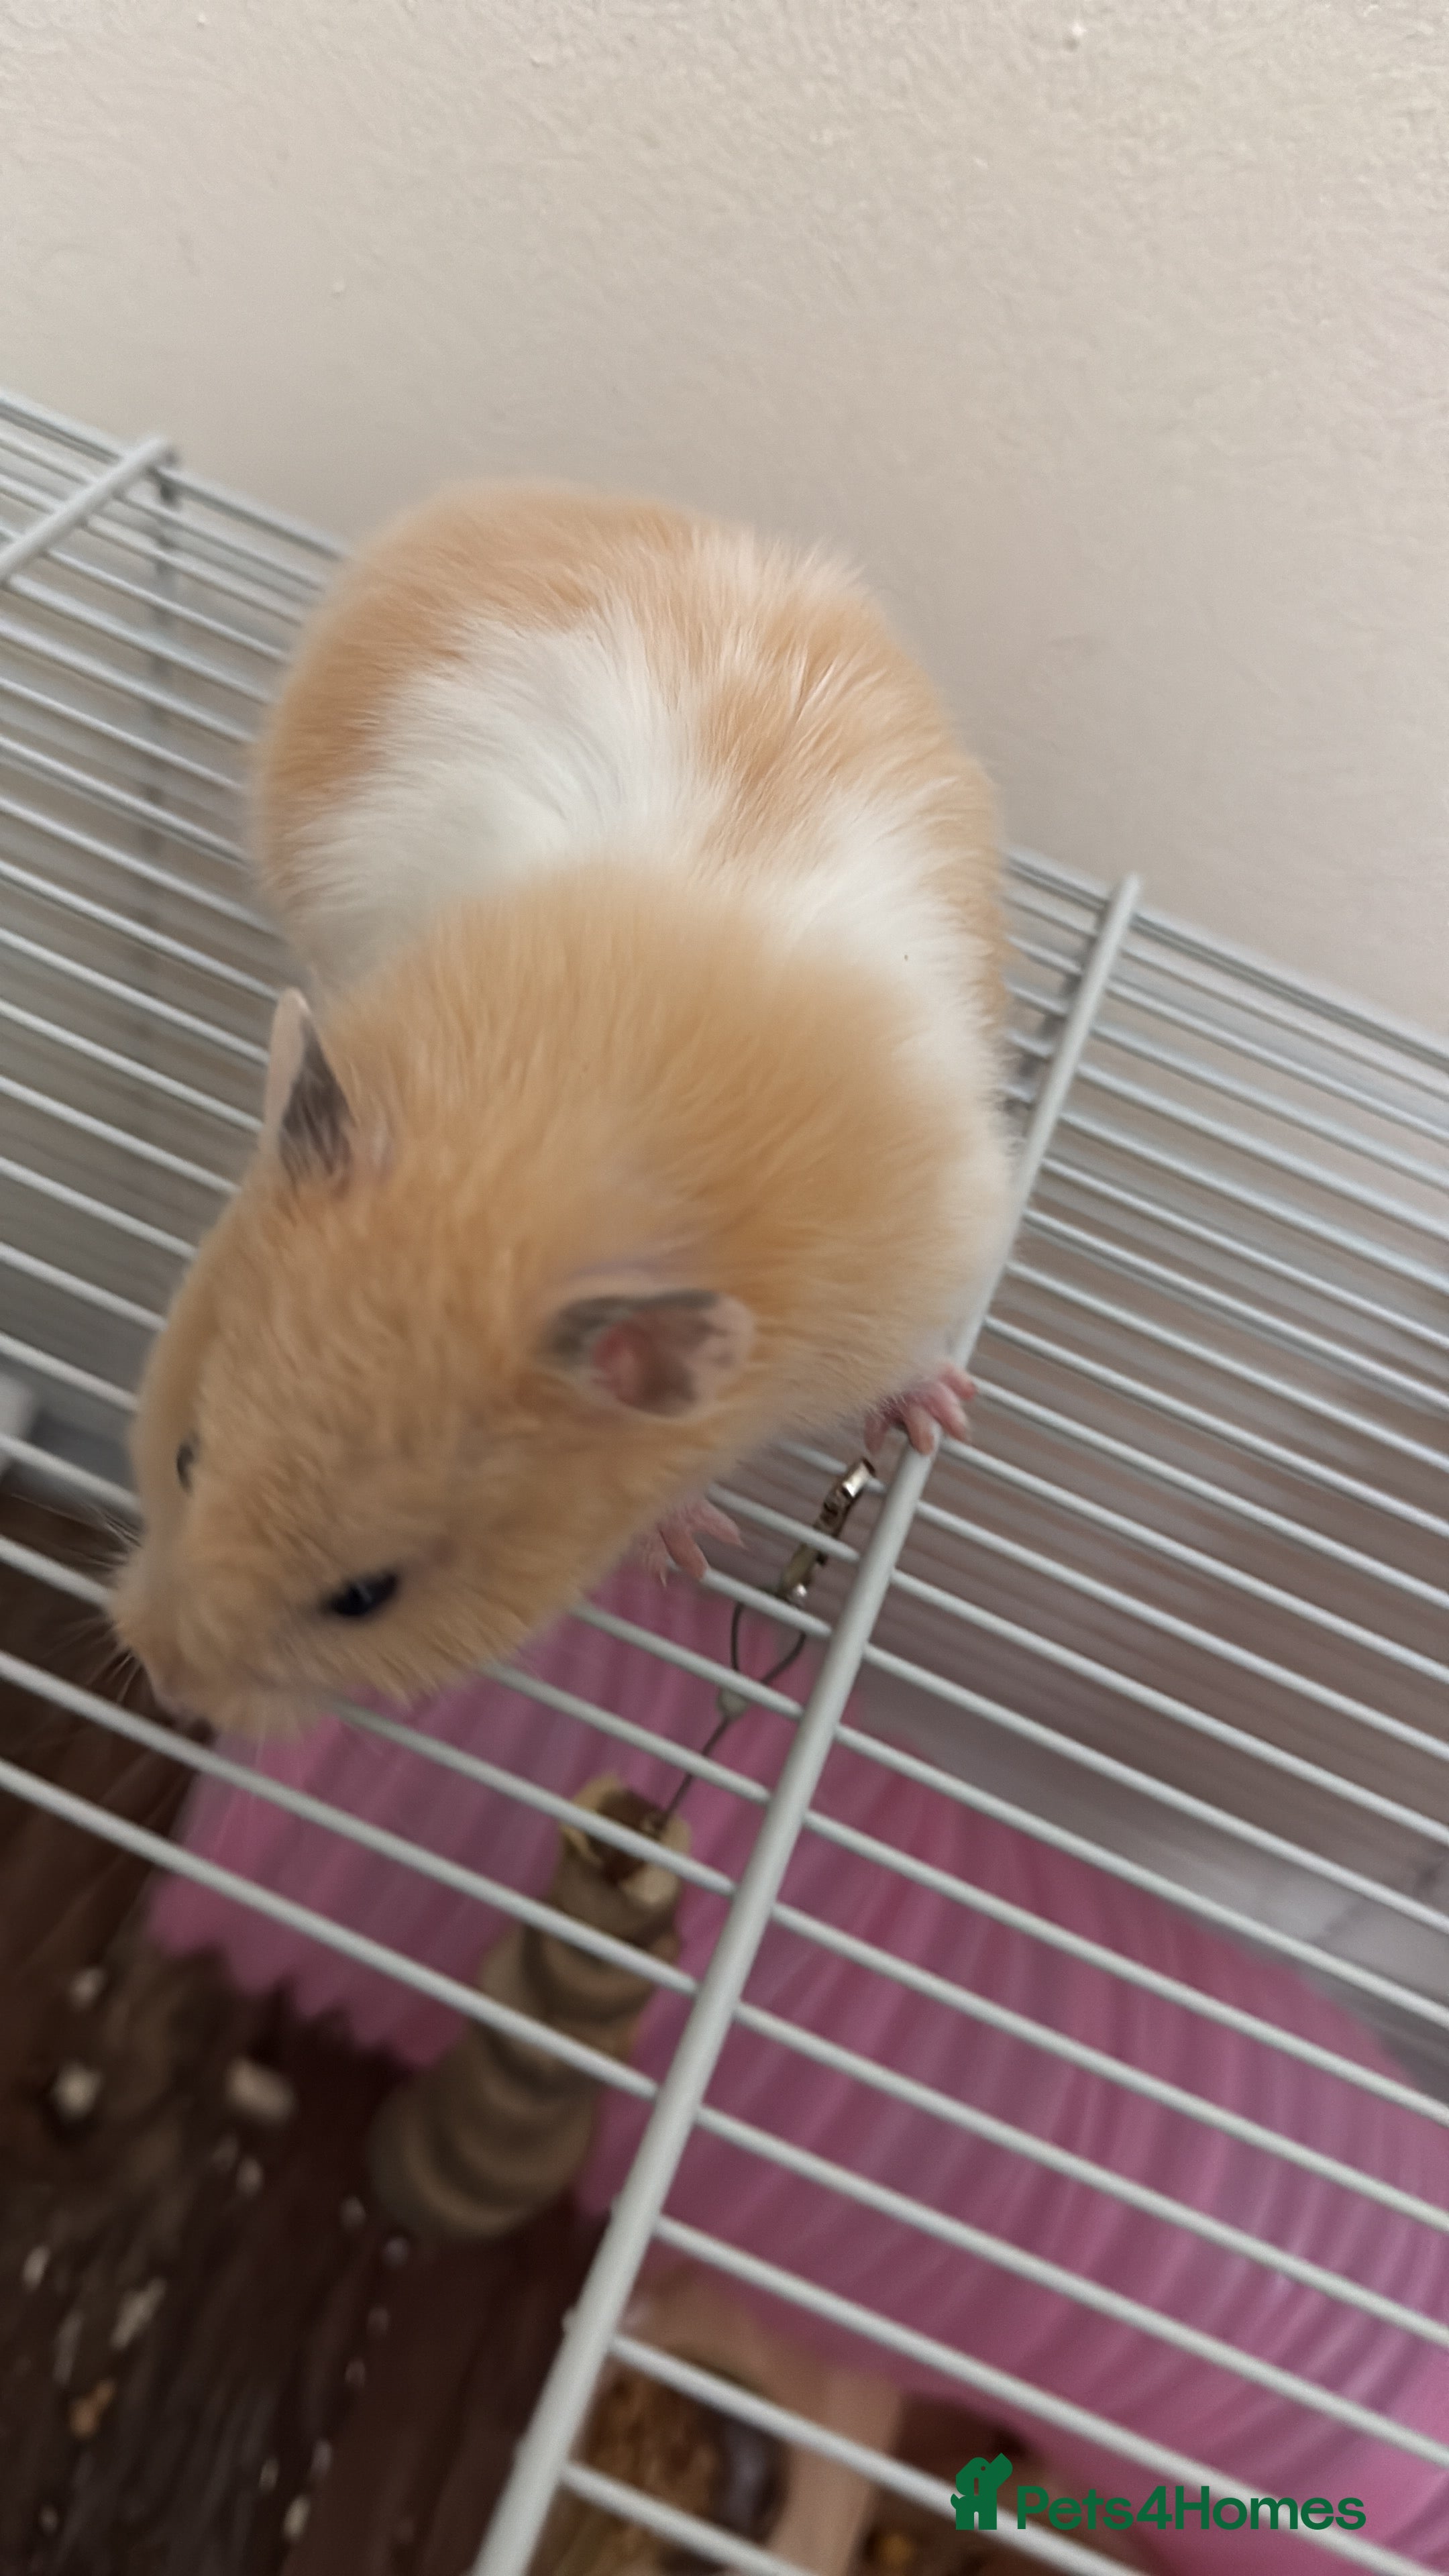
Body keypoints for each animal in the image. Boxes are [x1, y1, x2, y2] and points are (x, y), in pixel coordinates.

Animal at [110, 483, 1013, 1739]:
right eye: (188, 1456)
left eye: (366, 1598)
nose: (162, 1678)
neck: (566, 1148)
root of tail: (503, 497)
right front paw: (689, 1542)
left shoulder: (923, 1253)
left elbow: (903, 1362)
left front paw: (935, 1418)